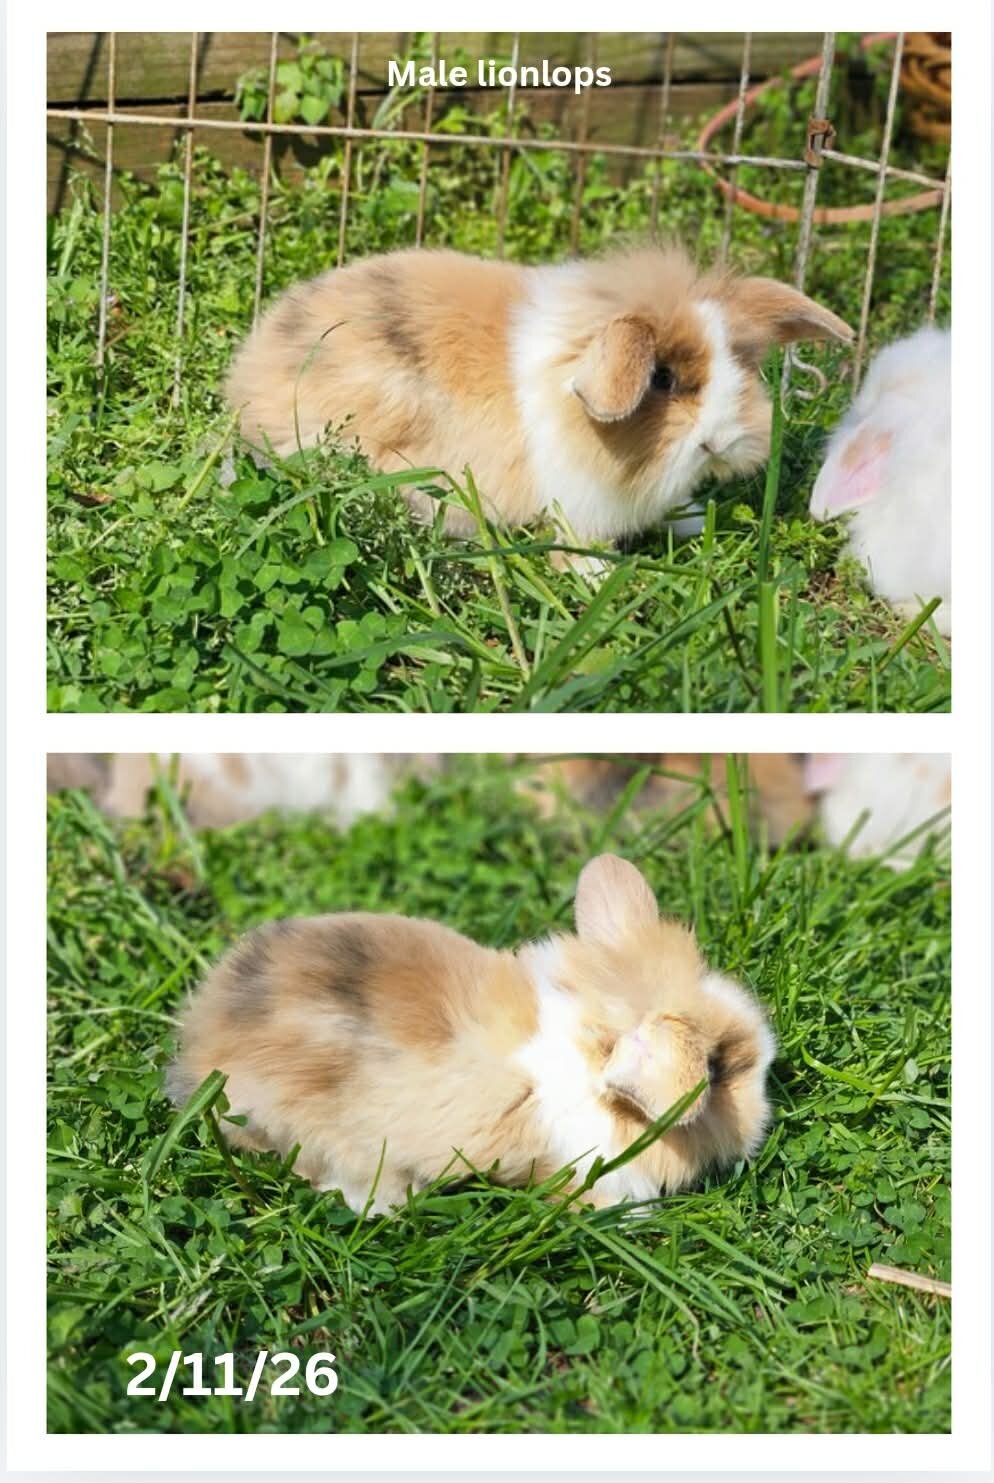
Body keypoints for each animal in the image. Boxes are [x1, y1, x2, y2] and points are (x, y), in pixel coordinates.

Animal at [224, 244, 852, 550]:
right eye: (662, 380)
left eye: (742, 364)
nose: (720, 442)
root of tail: (246, 383)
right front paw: (599, 577)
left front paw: (694, 522)